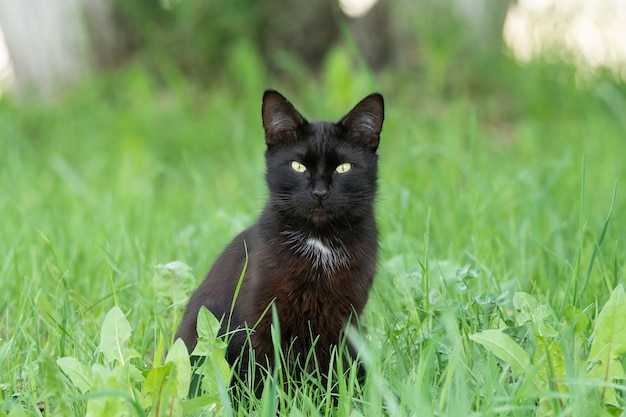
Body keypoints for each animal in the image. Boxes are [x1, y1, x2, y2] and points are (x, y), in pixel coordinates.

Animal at [173, 88, 382, 386]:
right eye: (297, 166)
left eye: (343, 168)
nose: (320, 192)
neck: (319, 242)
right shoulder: (258, 316)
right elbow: (260, 367)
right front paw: (267, 397)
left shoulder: (344, 320)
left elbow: (333, 368)